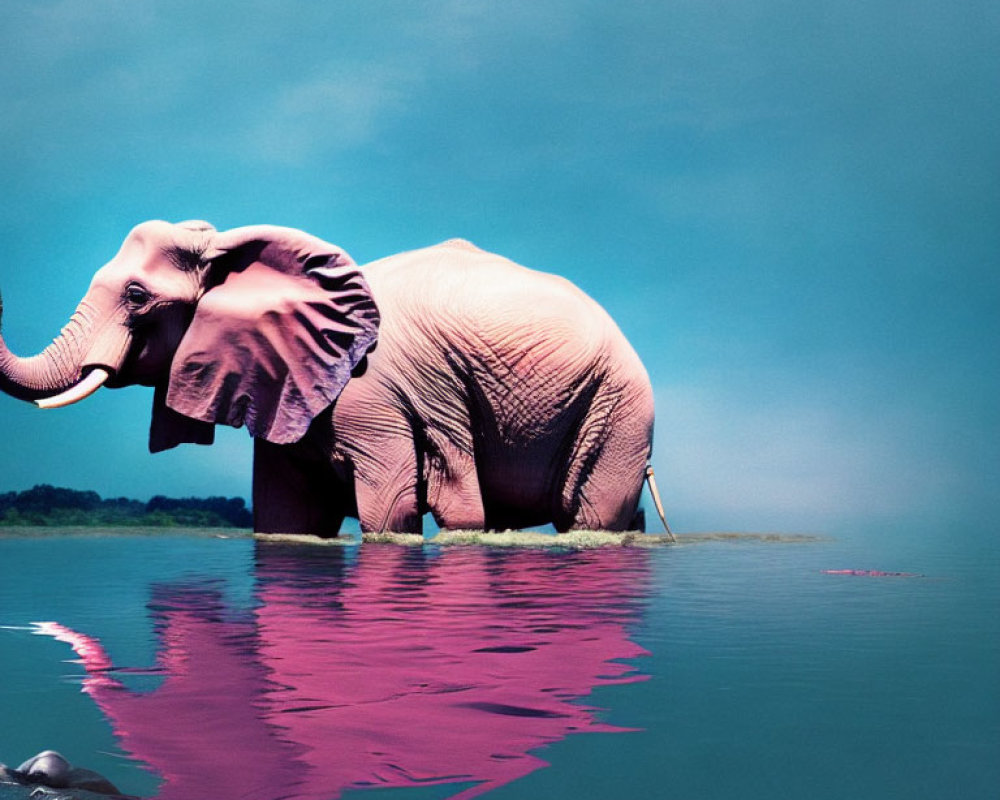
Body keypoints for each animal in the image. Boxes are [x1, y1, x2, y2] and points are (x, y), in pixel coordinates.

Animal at [0, 222, 656, 536]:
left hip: (617, 406)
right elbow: (285, 517)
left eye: (136, 296)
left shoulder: (373, 394)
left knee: (593, 516)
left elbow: (390, 510)